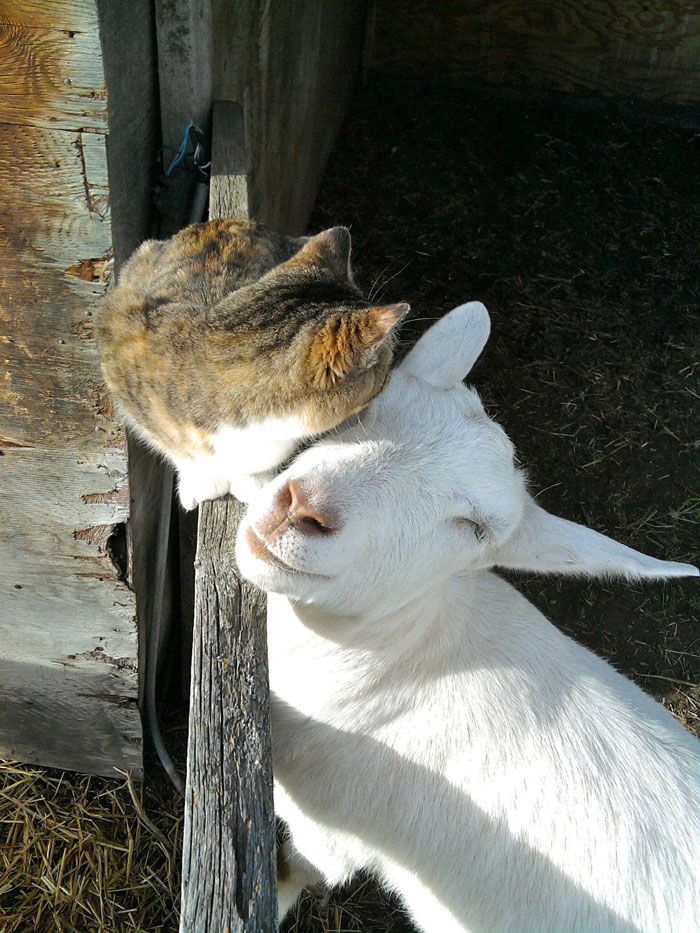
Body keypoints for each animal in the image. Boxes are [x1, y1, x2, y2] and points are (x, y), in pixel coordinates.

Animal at [95, 220, 408, 510]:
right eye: (385, 374)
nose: (391, 380)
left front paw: (252, 482)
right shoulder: (120, 349)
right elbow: (176, 448)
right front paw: (202, 479)